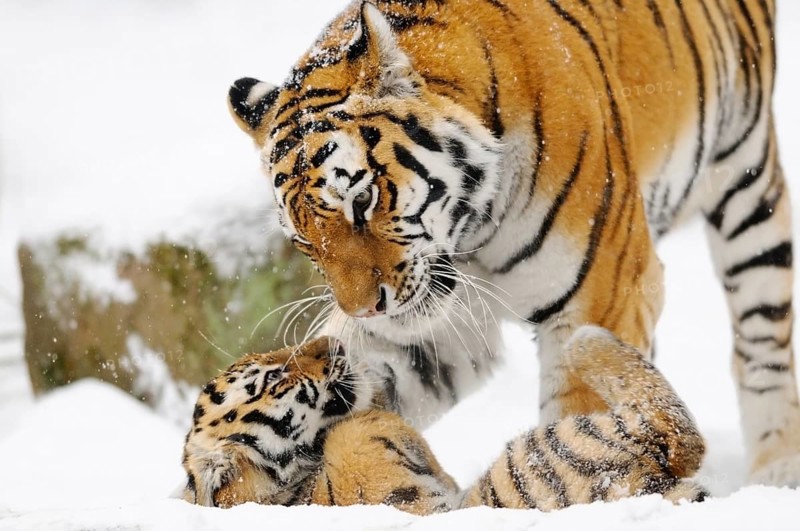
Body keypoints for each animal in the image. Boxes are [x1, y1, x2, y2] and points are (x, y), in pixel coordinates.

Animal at [182, 328, 707, 513]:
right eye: (273, 378)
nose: (329, 343)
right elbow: (365, 426)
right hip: (535, 467)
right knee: (673, 428)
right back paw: (583, 338)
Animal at [226, 0, 799, 485]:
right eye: (304, 242)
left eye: (361, 200)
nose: (365, 309)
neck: (472, 235)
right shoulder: (444, 326)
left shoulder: (601, 299)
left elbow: (581, 425)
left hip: (746, 179)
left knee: (762, 338)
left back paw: (774, 471)